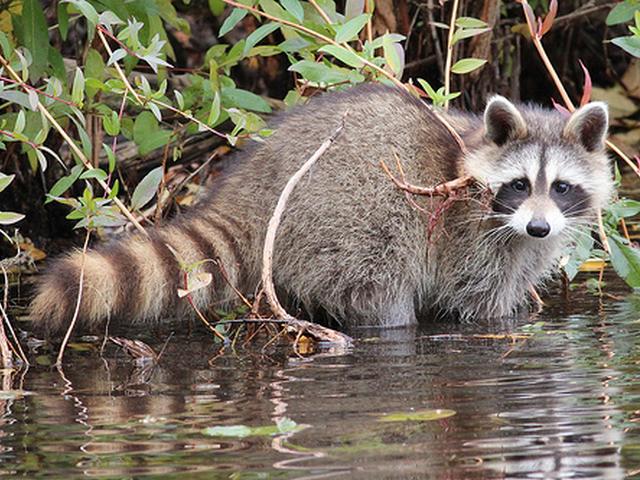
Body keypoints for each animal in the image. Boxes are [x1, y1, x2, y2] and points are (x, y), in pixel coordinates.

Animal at [29, 84, 612, 332]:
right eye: (519, 184)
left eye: (562, 188)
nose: (539, 228)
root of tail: (255, 184)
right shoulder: (468, 236)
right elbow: (478, 303)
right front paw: (504, 320)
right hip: (348, 213)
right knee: (378, 285)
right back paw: (388, 322)